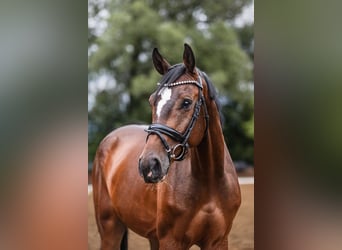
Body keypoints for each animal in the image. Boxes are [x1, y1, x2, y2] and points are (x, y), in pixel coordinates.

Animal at [92, 44, 242, 249]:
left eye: (186, 102)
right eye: (151, 101)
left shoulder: (218, 241)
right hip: (110, 229)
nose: (149, 165)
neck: (209, 180)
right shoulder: (171, 241)